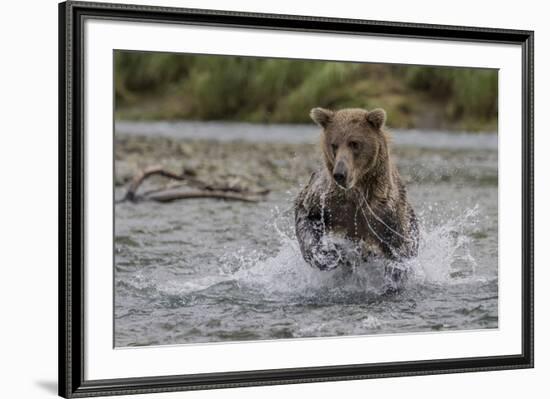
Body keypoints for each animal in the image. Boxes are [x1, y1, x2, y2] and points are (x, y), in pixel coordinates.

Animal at [296, 108, 420, 274]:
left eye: (354, 143)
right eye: (334, 144)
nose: (340, 174)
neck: (357, 192)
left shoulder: (385, 213)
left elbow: (399, 247)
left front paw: (395, 269)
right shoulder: (326, 201)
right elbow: (306, 215)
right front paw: (327, 255)